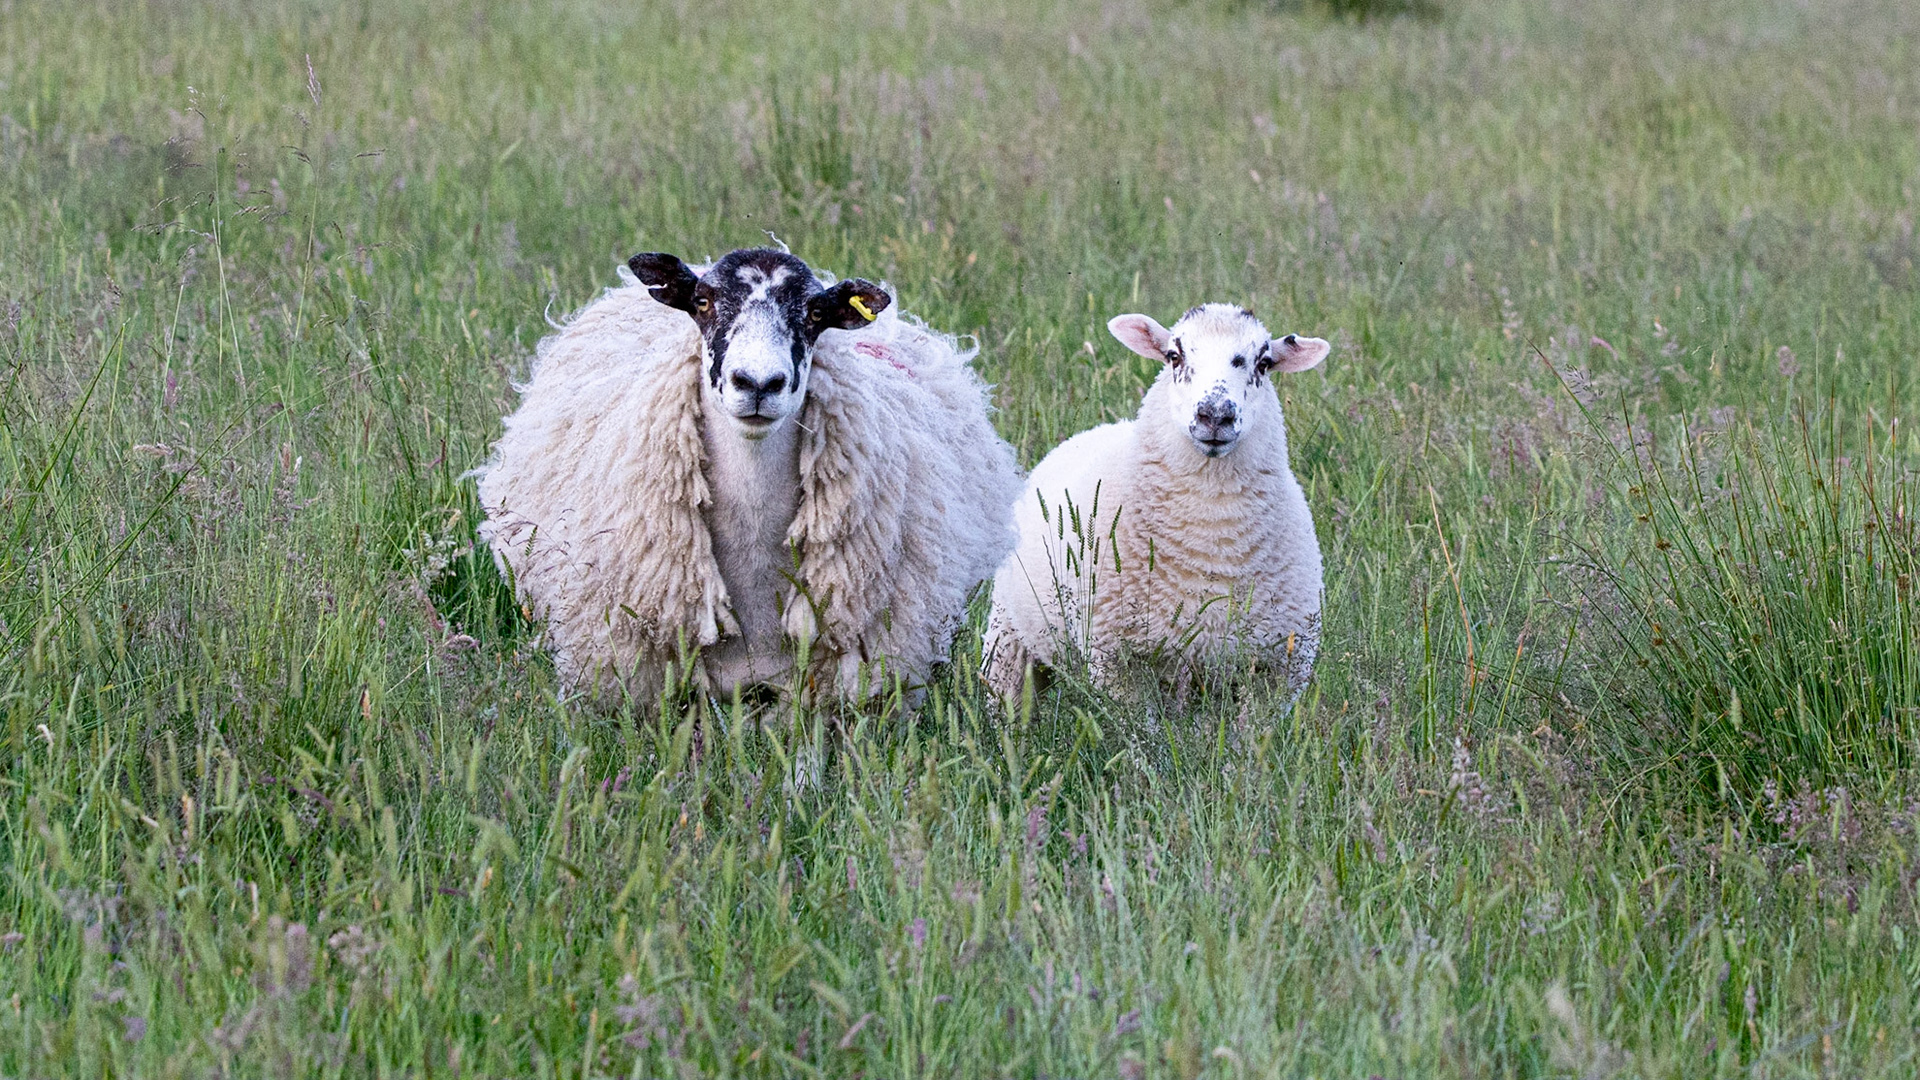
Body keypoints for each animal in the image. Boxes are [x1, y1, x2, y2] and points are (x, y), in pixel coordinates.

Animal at [982, 303, 1330, 702]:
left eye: (1264, 362)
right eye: (1174, 356)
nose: (1215, 415)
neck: (1214, 541)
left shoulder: (1279, 670)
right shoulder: (1118, 664)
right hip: (1008, 639)